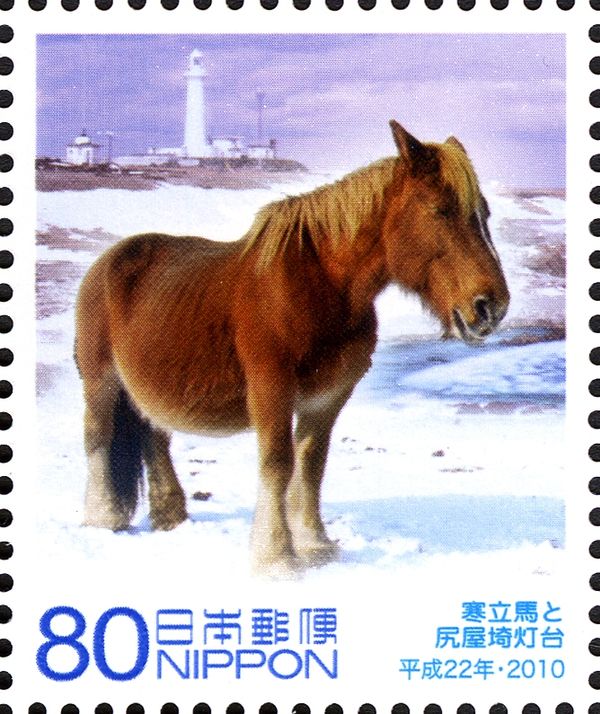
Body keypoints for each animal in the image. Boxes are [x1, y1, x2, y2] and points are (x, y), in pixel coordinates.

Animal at [75, 121, 509, 575]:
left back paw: (170, 517)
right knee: (97, 438)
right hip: (100, 380)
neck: (320, 289)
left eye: (484, 213)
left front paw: (315, 543)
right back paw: (104, 518)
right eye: (440, 211)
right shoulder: (271, 388)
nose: (490, 306)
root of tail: (107, 262)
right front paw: (276, 556)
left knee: (155, 437)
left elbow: (311, 464)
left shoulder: (328, 397)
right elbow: (278, 463)